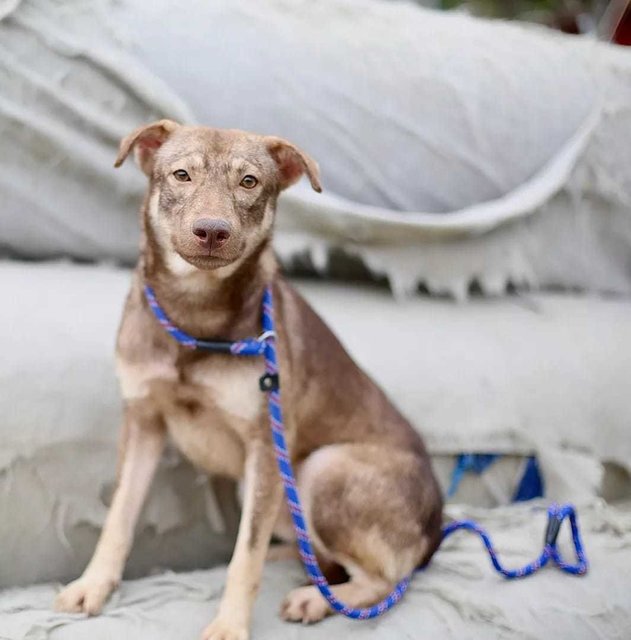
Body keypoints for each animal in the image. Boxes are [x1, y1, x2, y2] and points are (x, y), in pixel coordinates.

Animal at [54, 121, 442, 640]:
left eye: (249, 182)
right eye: (181, 175)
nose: (212, 231)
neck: (196, 315)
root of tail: (438, 523)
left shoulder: (264, 443)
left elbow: (246, 555)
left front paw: (230, 624)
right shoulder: (143, 420)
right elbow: (120, 516)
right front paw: (93, 584)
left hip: (322, 469)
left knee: (388, 576)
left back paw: (317, 597)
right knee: (319, 554)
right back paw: (298, 564)